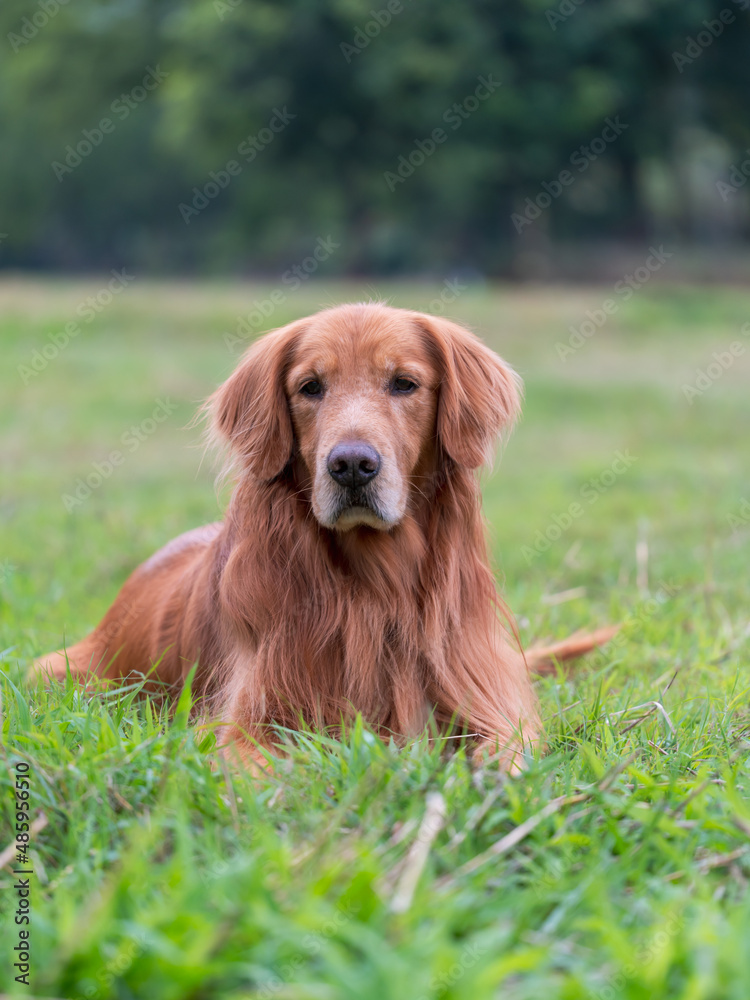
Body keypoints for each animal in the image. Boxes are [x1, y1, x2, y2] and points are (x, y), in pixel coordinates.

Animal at [36, 306, 612, 772]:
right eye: (310, 386)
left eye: (404, 383)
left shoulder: (493, 706)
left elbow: (507, 756)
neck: (378, 586)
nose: (352, 466)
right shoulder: (247, 722)